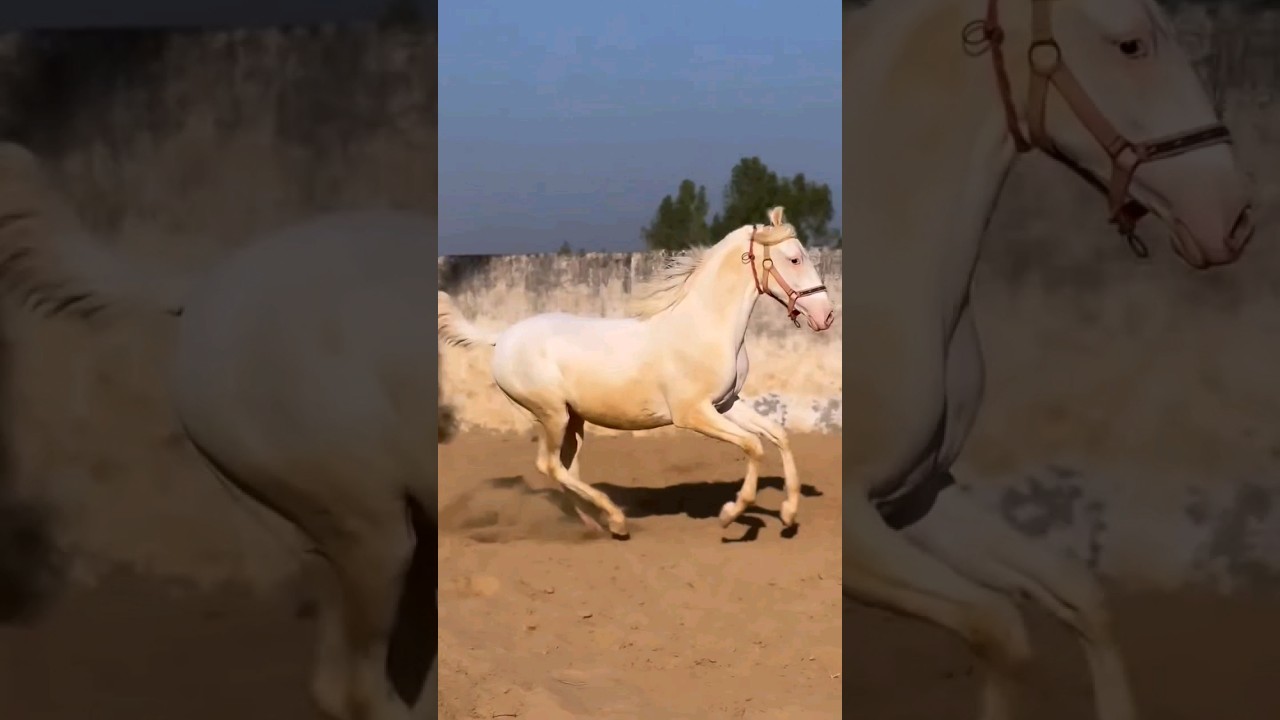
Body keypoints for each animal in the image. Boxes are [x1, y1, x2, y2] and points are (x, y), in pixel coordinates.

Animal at [438, 206, 836, 539]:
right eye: (794, 258)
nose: (826, 315)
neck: (705, 326)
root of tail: (501, 337)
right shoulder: (692, 414)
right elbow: (753, 446)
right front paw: (730, 513)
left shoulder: (725, 404)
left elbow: (778, 436)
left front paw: (788, 514)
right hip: (550, 414)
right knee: (548, 466)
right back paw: (615, 520)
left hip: (573, 420)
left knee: (567, 469)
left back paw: (595, 522)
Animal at [845, 1, 1254, 719]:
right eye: (1131, 44)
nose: (1230, 220)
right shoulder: (848, 523)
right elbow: (999, 628)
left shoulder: (912, 499)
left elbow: (1080, 597)